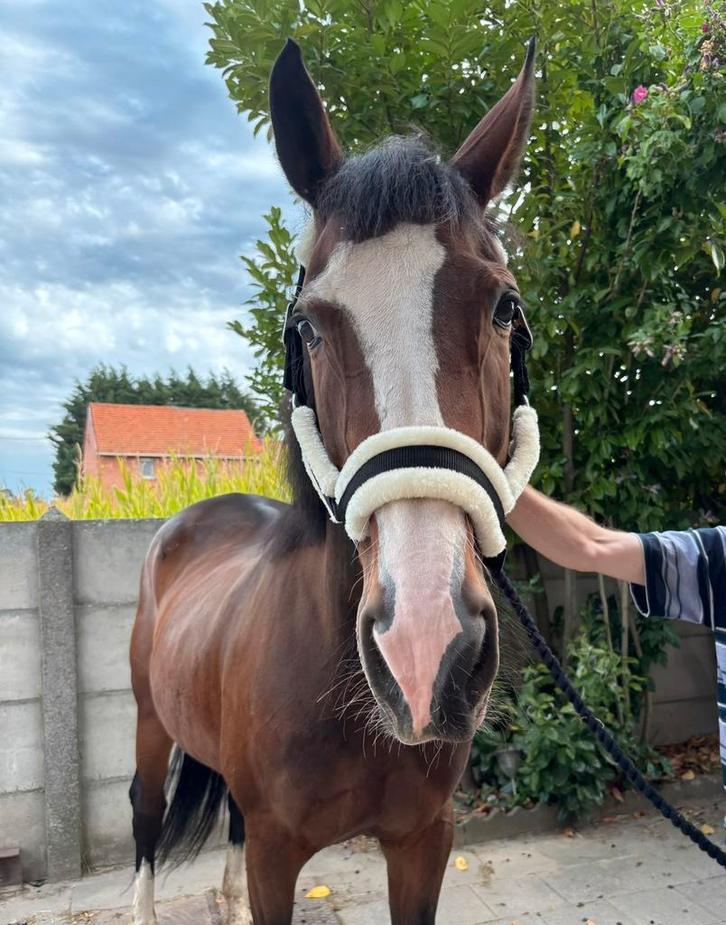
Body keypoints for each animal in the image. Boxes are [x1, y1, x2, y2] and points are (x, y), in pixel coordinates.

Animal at [128, 37, 536, 925]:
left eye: (502, 306)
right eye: (309, 325)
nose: (424, 648)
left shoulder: (424, 841)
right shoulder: (279, 855)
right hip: (148, 720)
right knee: (143, 814)